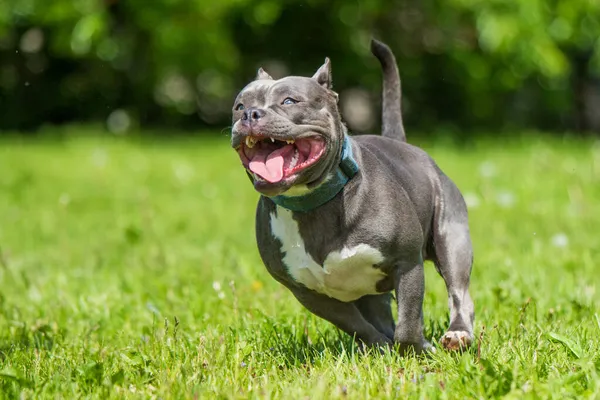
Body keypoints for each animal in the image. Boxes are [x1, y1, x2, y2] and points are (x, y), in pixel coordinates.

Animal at [230, 39, 474, 354]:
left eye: (289, 101)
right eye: (239, 106)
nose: (249, 114)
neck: (311, 204)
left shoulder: (407, 264)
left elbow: (409, 322)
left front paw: (416, 350)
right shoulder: (309, 293)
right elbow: (357, 326)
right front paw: (380, 348)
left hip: (452, 239)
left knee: (459, 292)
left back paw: (458, 334)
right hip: (370, 293)